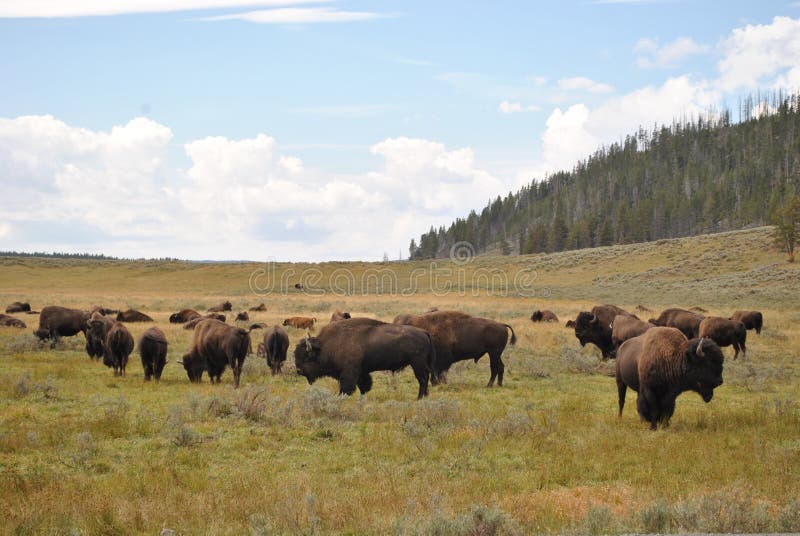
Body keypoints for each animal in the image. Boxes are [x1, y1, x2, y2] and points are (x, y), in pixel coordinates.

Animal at [294, 317, 434, 399]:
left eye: (306, 357)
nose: (299, 371)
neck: (326, 345)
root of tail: (424, 332)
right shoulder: (362, 372)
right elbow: (364, 385)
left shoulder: (349, 372)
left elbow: (347, 387)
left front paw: (340, 397)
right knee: (425, 378)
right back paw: (425, 396)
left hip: (417, 363)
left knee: (422, 379)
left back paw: (419, 398)